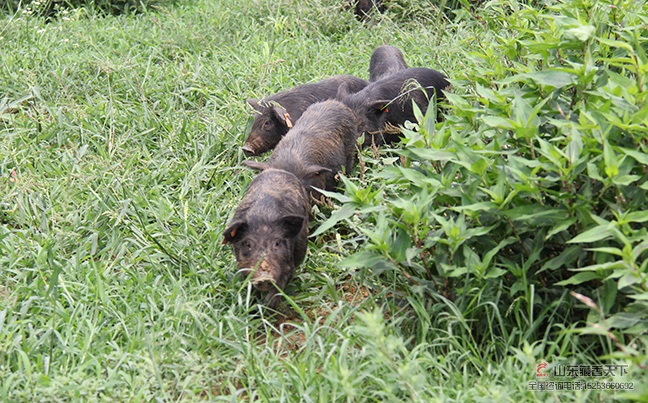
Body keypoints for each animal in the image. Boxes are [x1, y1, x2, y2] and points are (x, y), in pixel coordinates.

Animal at [221, 168, 310, 310]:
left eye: (277, 243)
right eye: (248, 244)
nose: (263, 278)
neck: (263, 216)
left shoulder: (289, 265)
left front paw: (268, 306)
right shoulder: (242, 265)